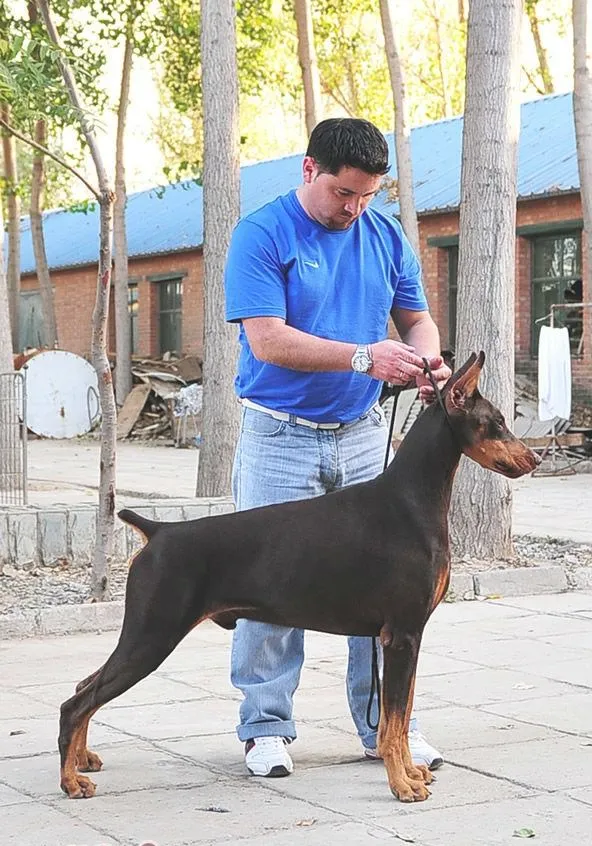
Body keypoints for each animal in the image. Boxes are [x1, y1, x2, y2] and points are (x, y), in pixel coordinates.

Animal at [57, 354, 540, 804]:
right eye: (498, 422)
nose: (536, 457)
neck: (413, 499)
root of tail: (158, 531)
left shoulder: (408, 637)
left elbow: (398, 719)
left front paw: (411, 773)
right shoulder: (402, 635)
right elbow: (392, 724)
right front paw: (402, 785)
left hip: (145, 635)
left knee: (83, 688)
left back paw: (84, 760)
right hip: (152, 634)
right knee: (75, 703)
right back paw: (70, 781)